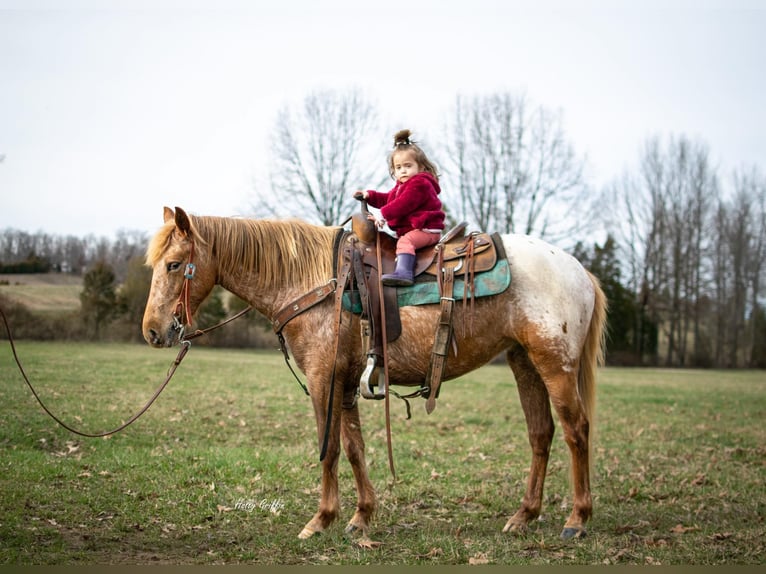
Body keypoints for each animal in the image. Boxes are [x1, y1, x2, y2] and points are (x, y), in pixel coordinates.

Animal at [142, 206, 608, 540]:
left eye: (174, 265)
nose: (152, 331)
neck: (313, 282)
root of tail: (578, 270)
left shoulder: (322, 381)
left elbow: (329, 449)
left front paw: (320, 520)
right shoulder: (346, 382)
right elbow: (354, 448)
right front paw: (360, 516)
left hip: (555, 364)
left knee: (576, 430)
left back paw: (577, 519)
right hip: (524, 361)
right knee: (541, 433)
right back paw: (523, 516)